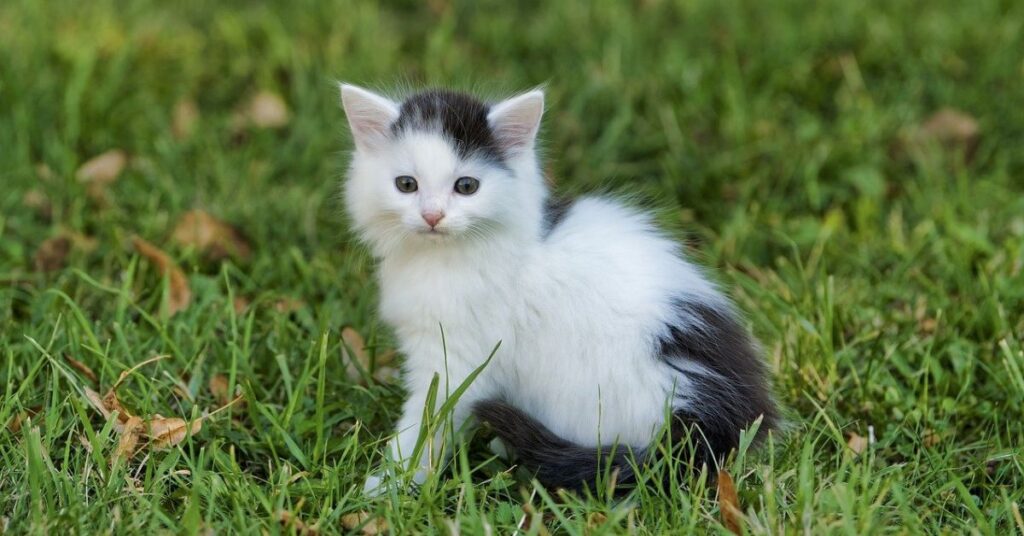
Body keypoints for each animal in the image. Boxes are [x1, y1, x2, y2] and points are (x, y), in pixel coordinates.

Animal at [339, 85, 778, 496]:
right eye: (406, 185)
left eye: (466, 186)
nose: (432, 215)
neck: (446, 258)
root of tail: (718, 418)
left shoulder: (457, 357)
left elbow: (428, 419)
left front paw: (391, 482)